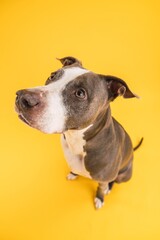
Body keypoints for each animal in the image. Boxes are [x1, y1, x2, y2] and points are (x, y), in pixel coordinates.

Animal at [15, 57, 142, 209]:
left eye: (80, 93)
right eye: (52, 76)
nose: (23, 98)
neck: (75, 139)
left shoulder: (104, 178)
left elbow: (101, 187)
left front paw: (100, 197)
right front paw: (73, 173)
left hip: (124, 175)